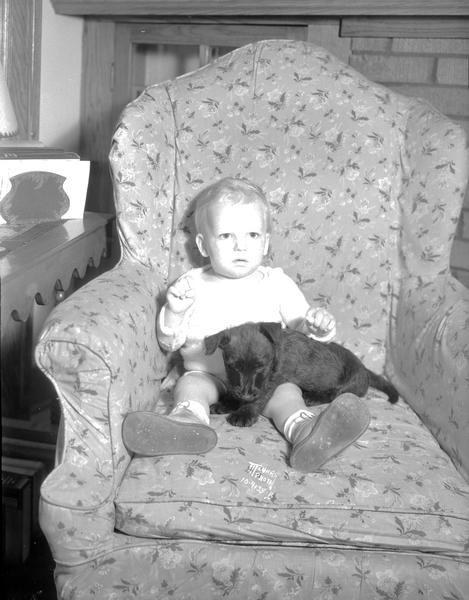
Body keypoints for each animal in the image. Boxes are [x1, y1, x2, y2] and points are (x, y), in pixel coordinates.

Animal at [203, 324, 396, 426]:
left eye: (261, 367)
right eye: (232, 367)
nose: (245, 394)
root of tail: (364, 368)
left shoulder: (269, 384)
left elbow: (258, 399)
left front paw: (243, 414)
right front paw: (226, 403)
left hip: (350, 382)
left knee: (334, 393)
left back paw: (313, 397)